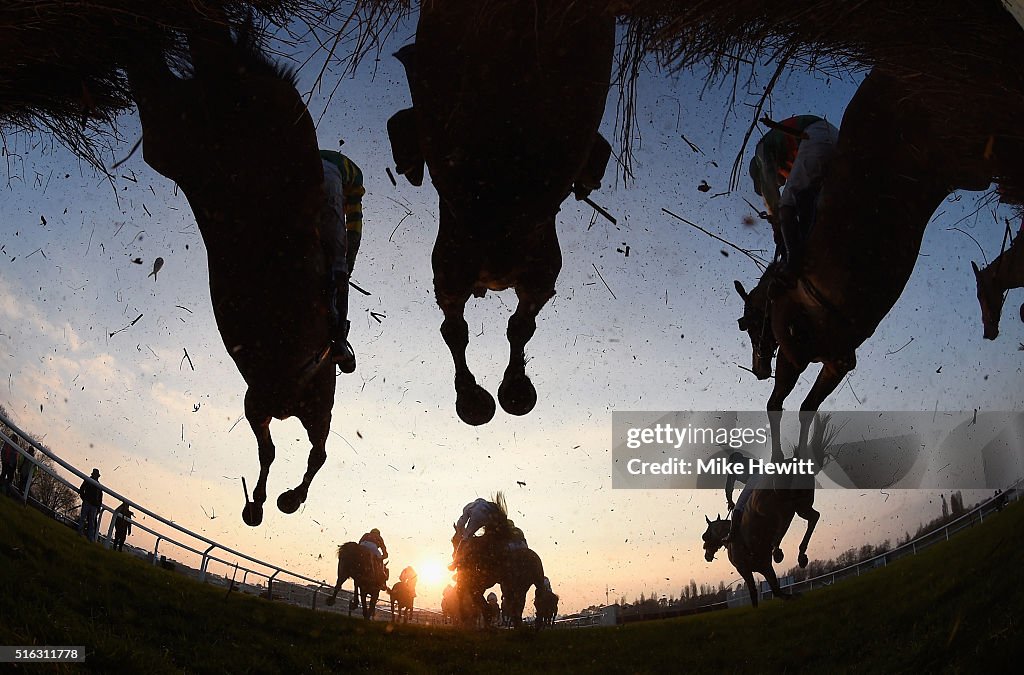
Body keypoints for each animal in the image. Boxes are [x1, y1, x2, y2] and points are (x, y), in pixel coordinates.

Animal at [387, 0, 614, 426]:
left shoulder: (538, 275)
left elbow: (519, 327)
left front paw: (513, 389)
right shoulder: (456, 270)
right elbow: (459, 330)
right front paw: (475, 399)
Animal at [700, 477, 819, 610]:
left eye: (704, 536)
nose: (707, 556)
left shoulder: (743, 568)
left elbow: (754, 592)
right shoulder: (765, 566)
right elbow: (776, 590)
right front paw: (793, 596)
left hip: (770, 507)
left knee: (784, 519)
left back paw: (777, 550)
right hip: (800, 505)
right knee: (813, 517)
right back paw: (799, 554)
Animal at [737, 68, 999, 456]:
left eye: (750, 325)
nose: (757, 370)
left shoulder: (794, 355)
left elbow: (778, 405)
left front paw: (784, 457)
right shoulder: (838, 361)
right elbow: (806, 408)